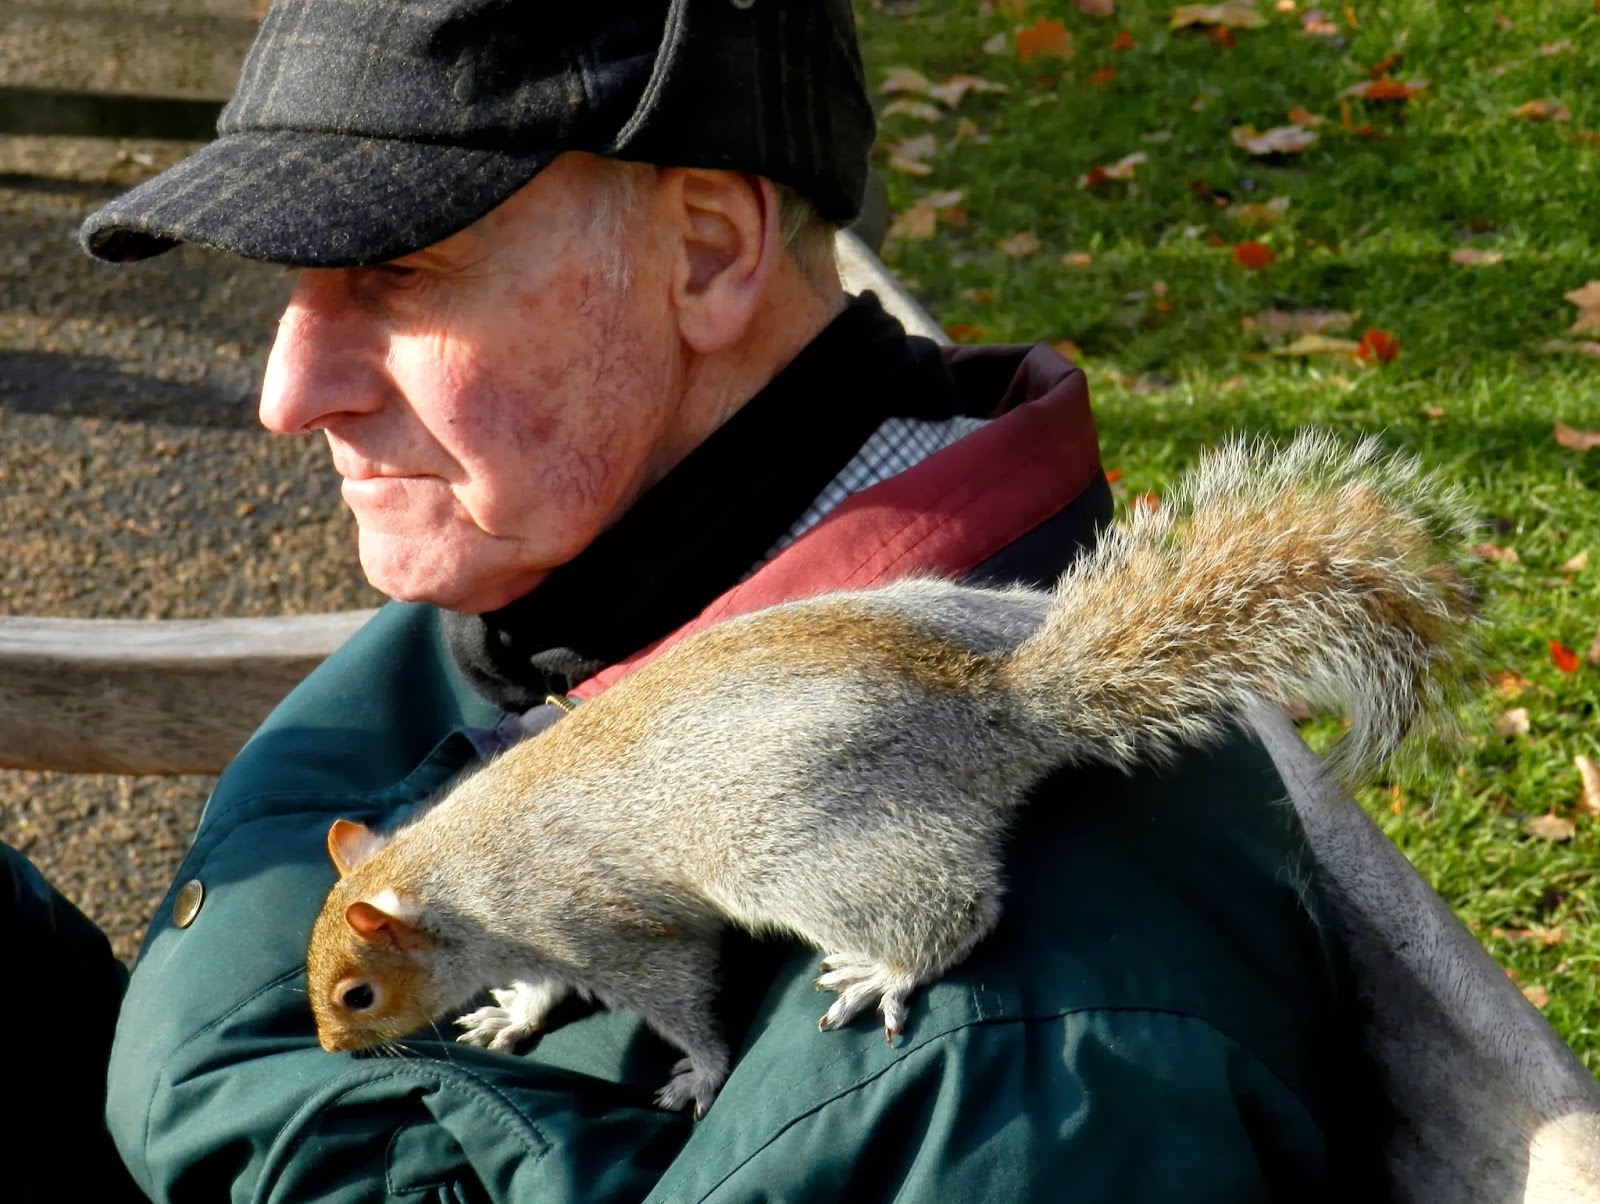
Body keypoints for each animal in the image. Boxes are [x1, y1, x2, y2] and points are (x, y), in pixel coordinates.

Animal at [305, 431, 1477, 1118]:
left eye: (357, 991)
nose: (331, 1046)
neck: (452, 877)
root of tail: (995, 707)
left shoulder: (604, 926)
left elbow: (679, 994)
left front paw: (701, 1073)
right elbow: (546, 985)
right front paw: (510, 1011)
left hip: (806, 845)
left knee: (953, 907)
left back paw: (887, 968)